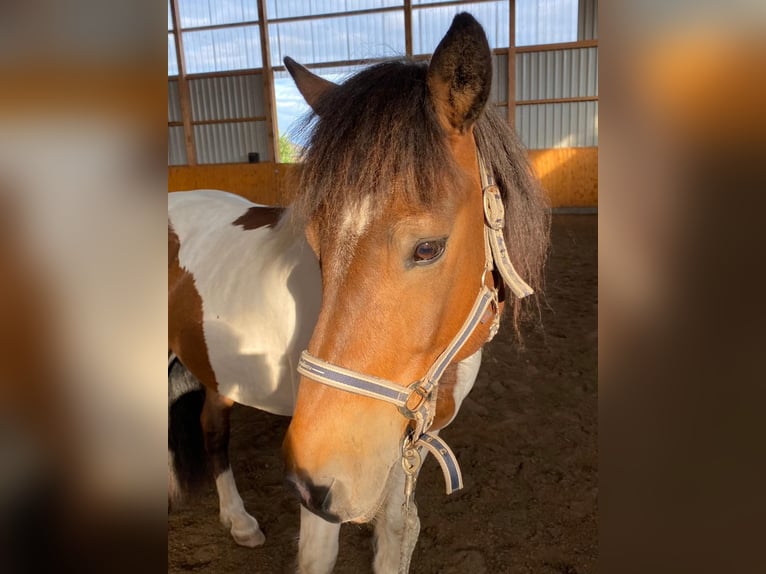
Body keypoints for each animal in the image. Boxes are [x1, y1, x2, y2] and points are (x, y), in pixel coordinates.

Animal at [170, 13, 548, 574]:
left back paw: (238, 522)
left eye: (428, 248)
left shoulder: (399, 444)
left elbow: (396, 533)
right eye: (315, 243)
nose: (308, 480)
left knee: (212, 428)